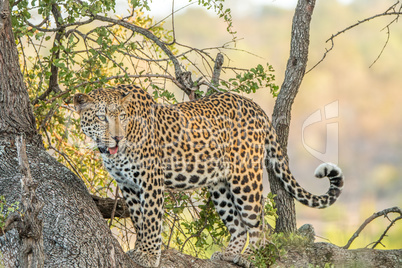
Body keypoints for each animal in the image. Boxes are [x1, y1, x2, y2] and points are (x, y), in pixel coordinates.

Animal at [74, 85, 344, 268]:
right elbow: (139, 221)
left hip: (245, 178)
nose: (118, 138)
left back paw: (250, 256)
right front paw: (140, 249)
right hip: (219, 185)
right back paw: (228, 253)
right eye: (101, 117)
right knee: (238, 225)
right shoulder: (128, 185)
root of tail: (255, 107)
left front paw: (149, 255)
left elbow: (150, 220)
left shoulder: (150, 181)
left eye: (122, 116)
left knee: (257, 224)